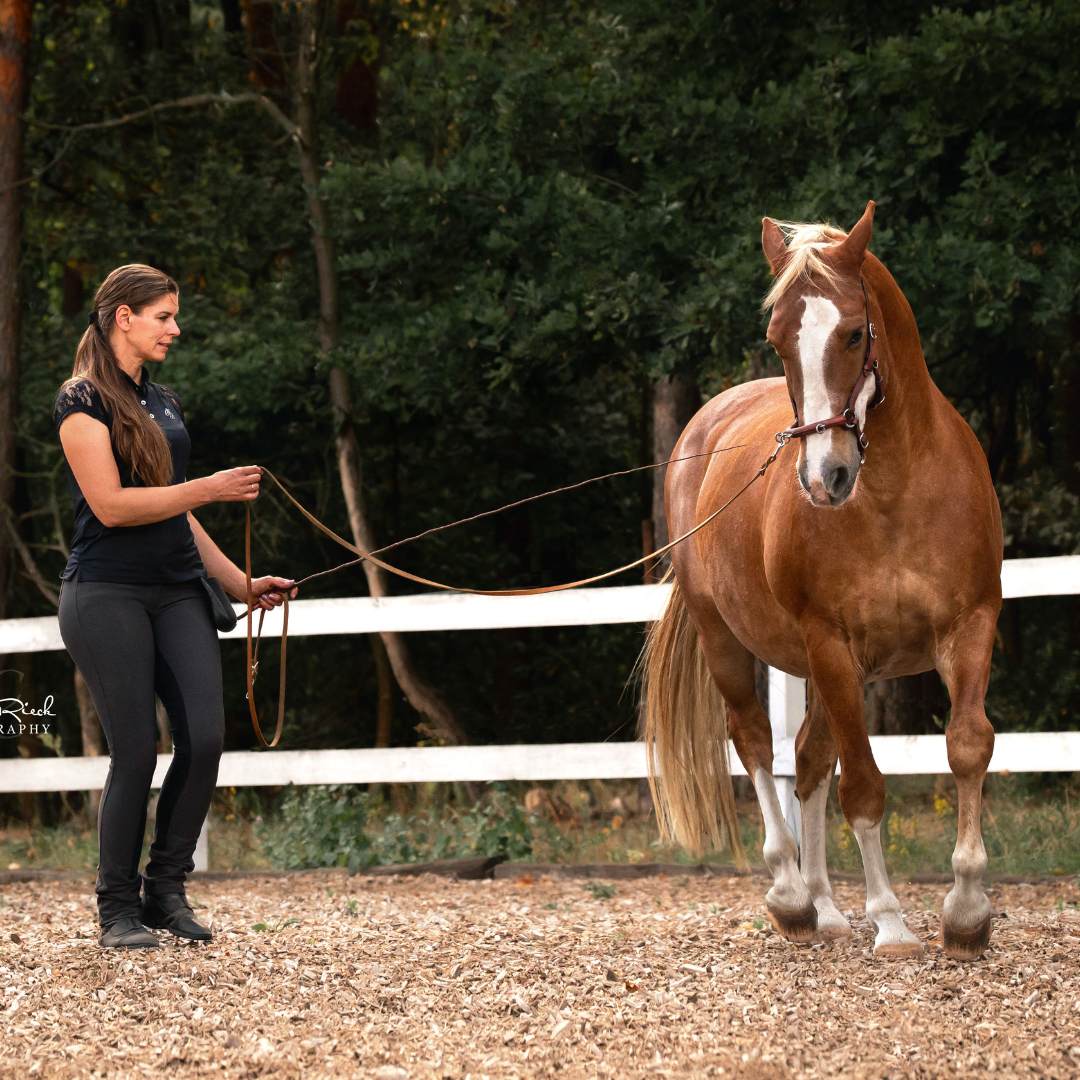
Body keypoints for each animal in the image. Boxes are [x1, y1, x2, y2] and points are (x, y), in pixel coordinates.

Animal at [642, 201, 1003, 960]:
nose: (823, 477)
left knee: (807, 759)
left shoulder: (971, 626)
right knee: (754, 741)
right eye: (777, 341)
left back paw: (829, 907)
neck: (897, 491)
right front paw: (891, 920)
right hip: (731, 640)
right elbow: (862, 786)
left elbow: (967, 745)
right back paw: (792, 896)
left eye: (855, 332)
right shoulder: (831, 644)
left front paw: (966, 911)